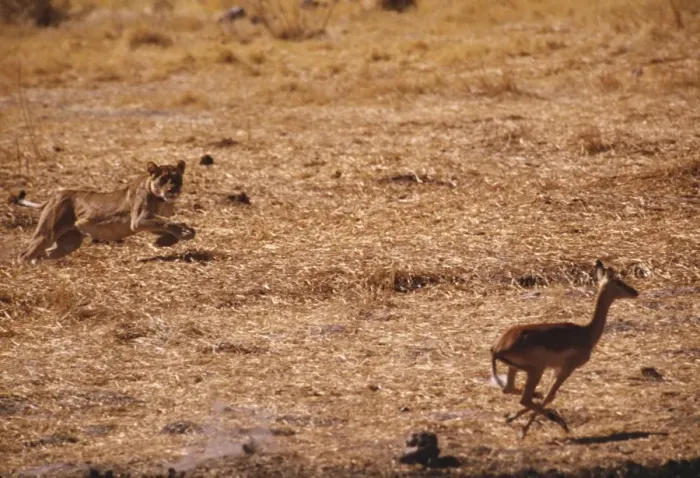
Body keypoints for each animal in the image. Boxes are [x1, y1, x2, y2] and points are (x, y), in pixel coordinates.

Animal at [9, 160, 196, 263]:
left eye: (177, 178)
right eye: (163, 179)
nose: (172, 189)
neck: (161, 199)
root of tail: (55, 195)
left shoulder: (150, 222)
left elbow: (168, 225)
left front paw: (163, 242)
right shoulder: (139, 220)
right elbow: (171, 222)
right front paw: (184, 233)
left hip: (69, 242)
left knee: (47, 253)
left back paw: (41, 264)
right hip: (47, 232)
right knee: (24, 254)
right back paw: (26, 268)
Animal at [491, 259, 639, 438]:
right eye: (618, 282)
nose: (635, 292)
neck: (586, 333)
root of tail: (497, 348)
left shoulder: (556, 369)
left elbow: (548, 396)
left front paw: (512, 418)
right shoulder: (567, 368)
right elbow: (550, 396)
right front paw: (524, 426)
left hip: (516, 369)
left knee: (510, 390)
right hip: (535, 370)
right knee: (525, 398)